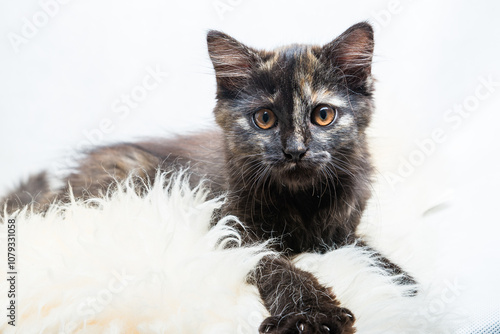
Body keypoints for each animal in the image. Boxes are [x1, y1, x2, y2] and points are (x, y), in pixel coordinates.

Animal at [1, 22, 416, 332]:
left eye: (323, 115)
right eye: (264, 119)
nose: (294, 151)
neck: (301, 201)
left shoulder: (341, 234)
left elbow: (369, 253)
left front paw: (403, 281)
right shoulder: (229, 227)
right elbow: (275, 264)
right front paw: (310, 314)